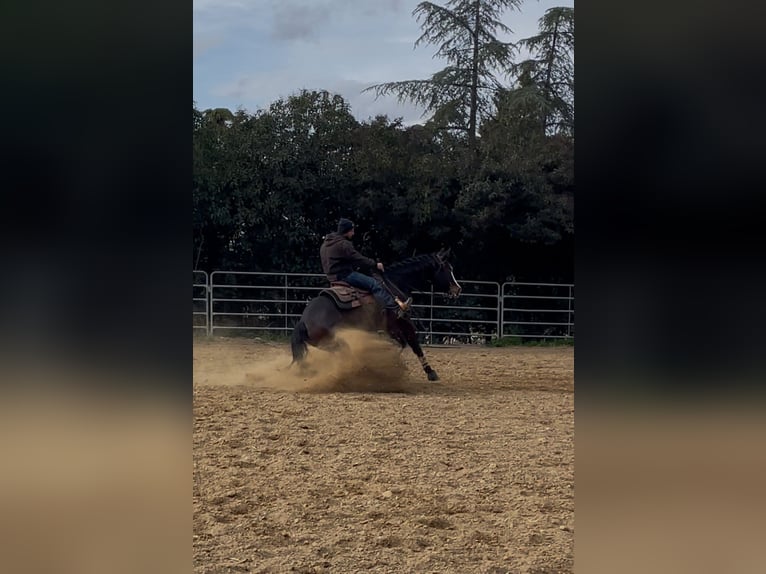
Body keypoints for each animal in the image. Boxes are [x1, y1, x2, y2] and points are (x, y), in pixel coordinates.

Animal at [290, 248, 462, 381]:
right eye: (448, 269)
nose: (458, 289)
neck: (395, 283)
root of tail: (303, 321)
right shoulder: (403, 323)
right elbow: (414, 345)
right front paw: (431, 373)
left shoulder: (391, 329)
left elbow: (402, 344)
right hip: (337, 343)